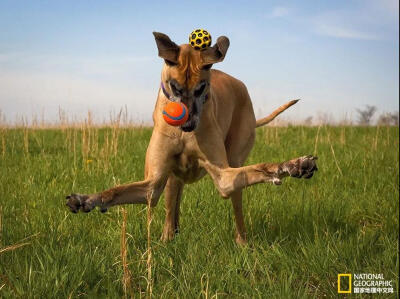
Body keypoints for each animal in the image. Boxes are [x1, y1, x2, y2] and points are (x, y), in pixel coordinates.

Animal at [65, 31, 318, 245]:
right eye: (175, 87)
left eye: (201, 88)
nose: (187, 126)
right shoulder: (152, 185)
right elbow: (116, 191)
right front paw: (86, 199)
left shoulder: (225, 177)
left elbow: (262, 168)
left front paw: (295, 165)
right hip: (172, 178)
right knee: (171, 208)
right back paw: (168, 237)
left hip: (236, 157)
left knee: (237, 204)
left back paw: (242, 242)